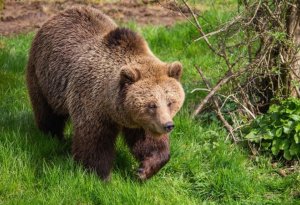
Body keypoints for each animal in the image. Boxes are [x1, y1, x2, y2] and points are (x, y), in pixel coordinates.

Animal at [26, 5, 185, 180]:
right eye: (152, 105)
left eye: (170, 102)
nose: (168, 125)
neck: (111, 105)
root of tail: (58, 15)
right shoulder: (91, 103)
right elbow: (95, 143)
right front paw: (101, 175)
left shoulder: (140, 121)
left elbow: (149, 141)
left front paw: (144, 169)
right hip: (43, 77)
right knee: (48, 113)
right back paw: (52, 137)